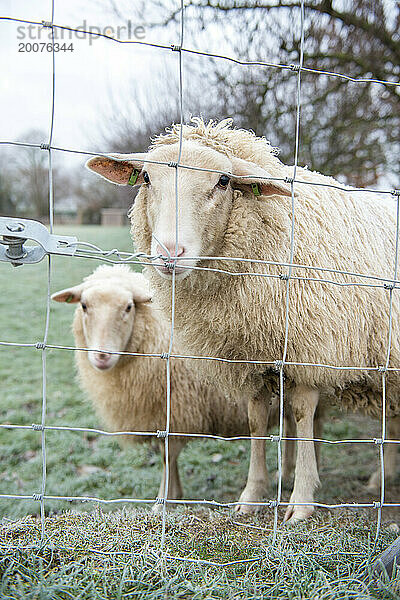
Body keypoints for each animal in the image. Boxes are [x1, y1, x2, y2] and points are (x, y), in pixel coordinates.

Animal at [51, 264, 296, 508]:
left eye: (128, 307)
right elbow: (166, 454)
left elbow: (167, 455)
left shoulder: (178, 408)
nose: (101, 356)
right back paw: (286, 474)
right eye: (84, 306)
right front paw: (174, 493)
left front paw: (164, 500)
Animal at [86, 117, 398, 520]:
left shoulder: (311, 350)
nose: (170, 253)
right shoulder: (248, 357)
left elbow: (302, 415)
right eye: (147, 178)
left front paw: (302, 500)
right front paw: (253, 494)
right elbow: (256, 420)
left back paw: (381, 479)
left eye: (223, 181)